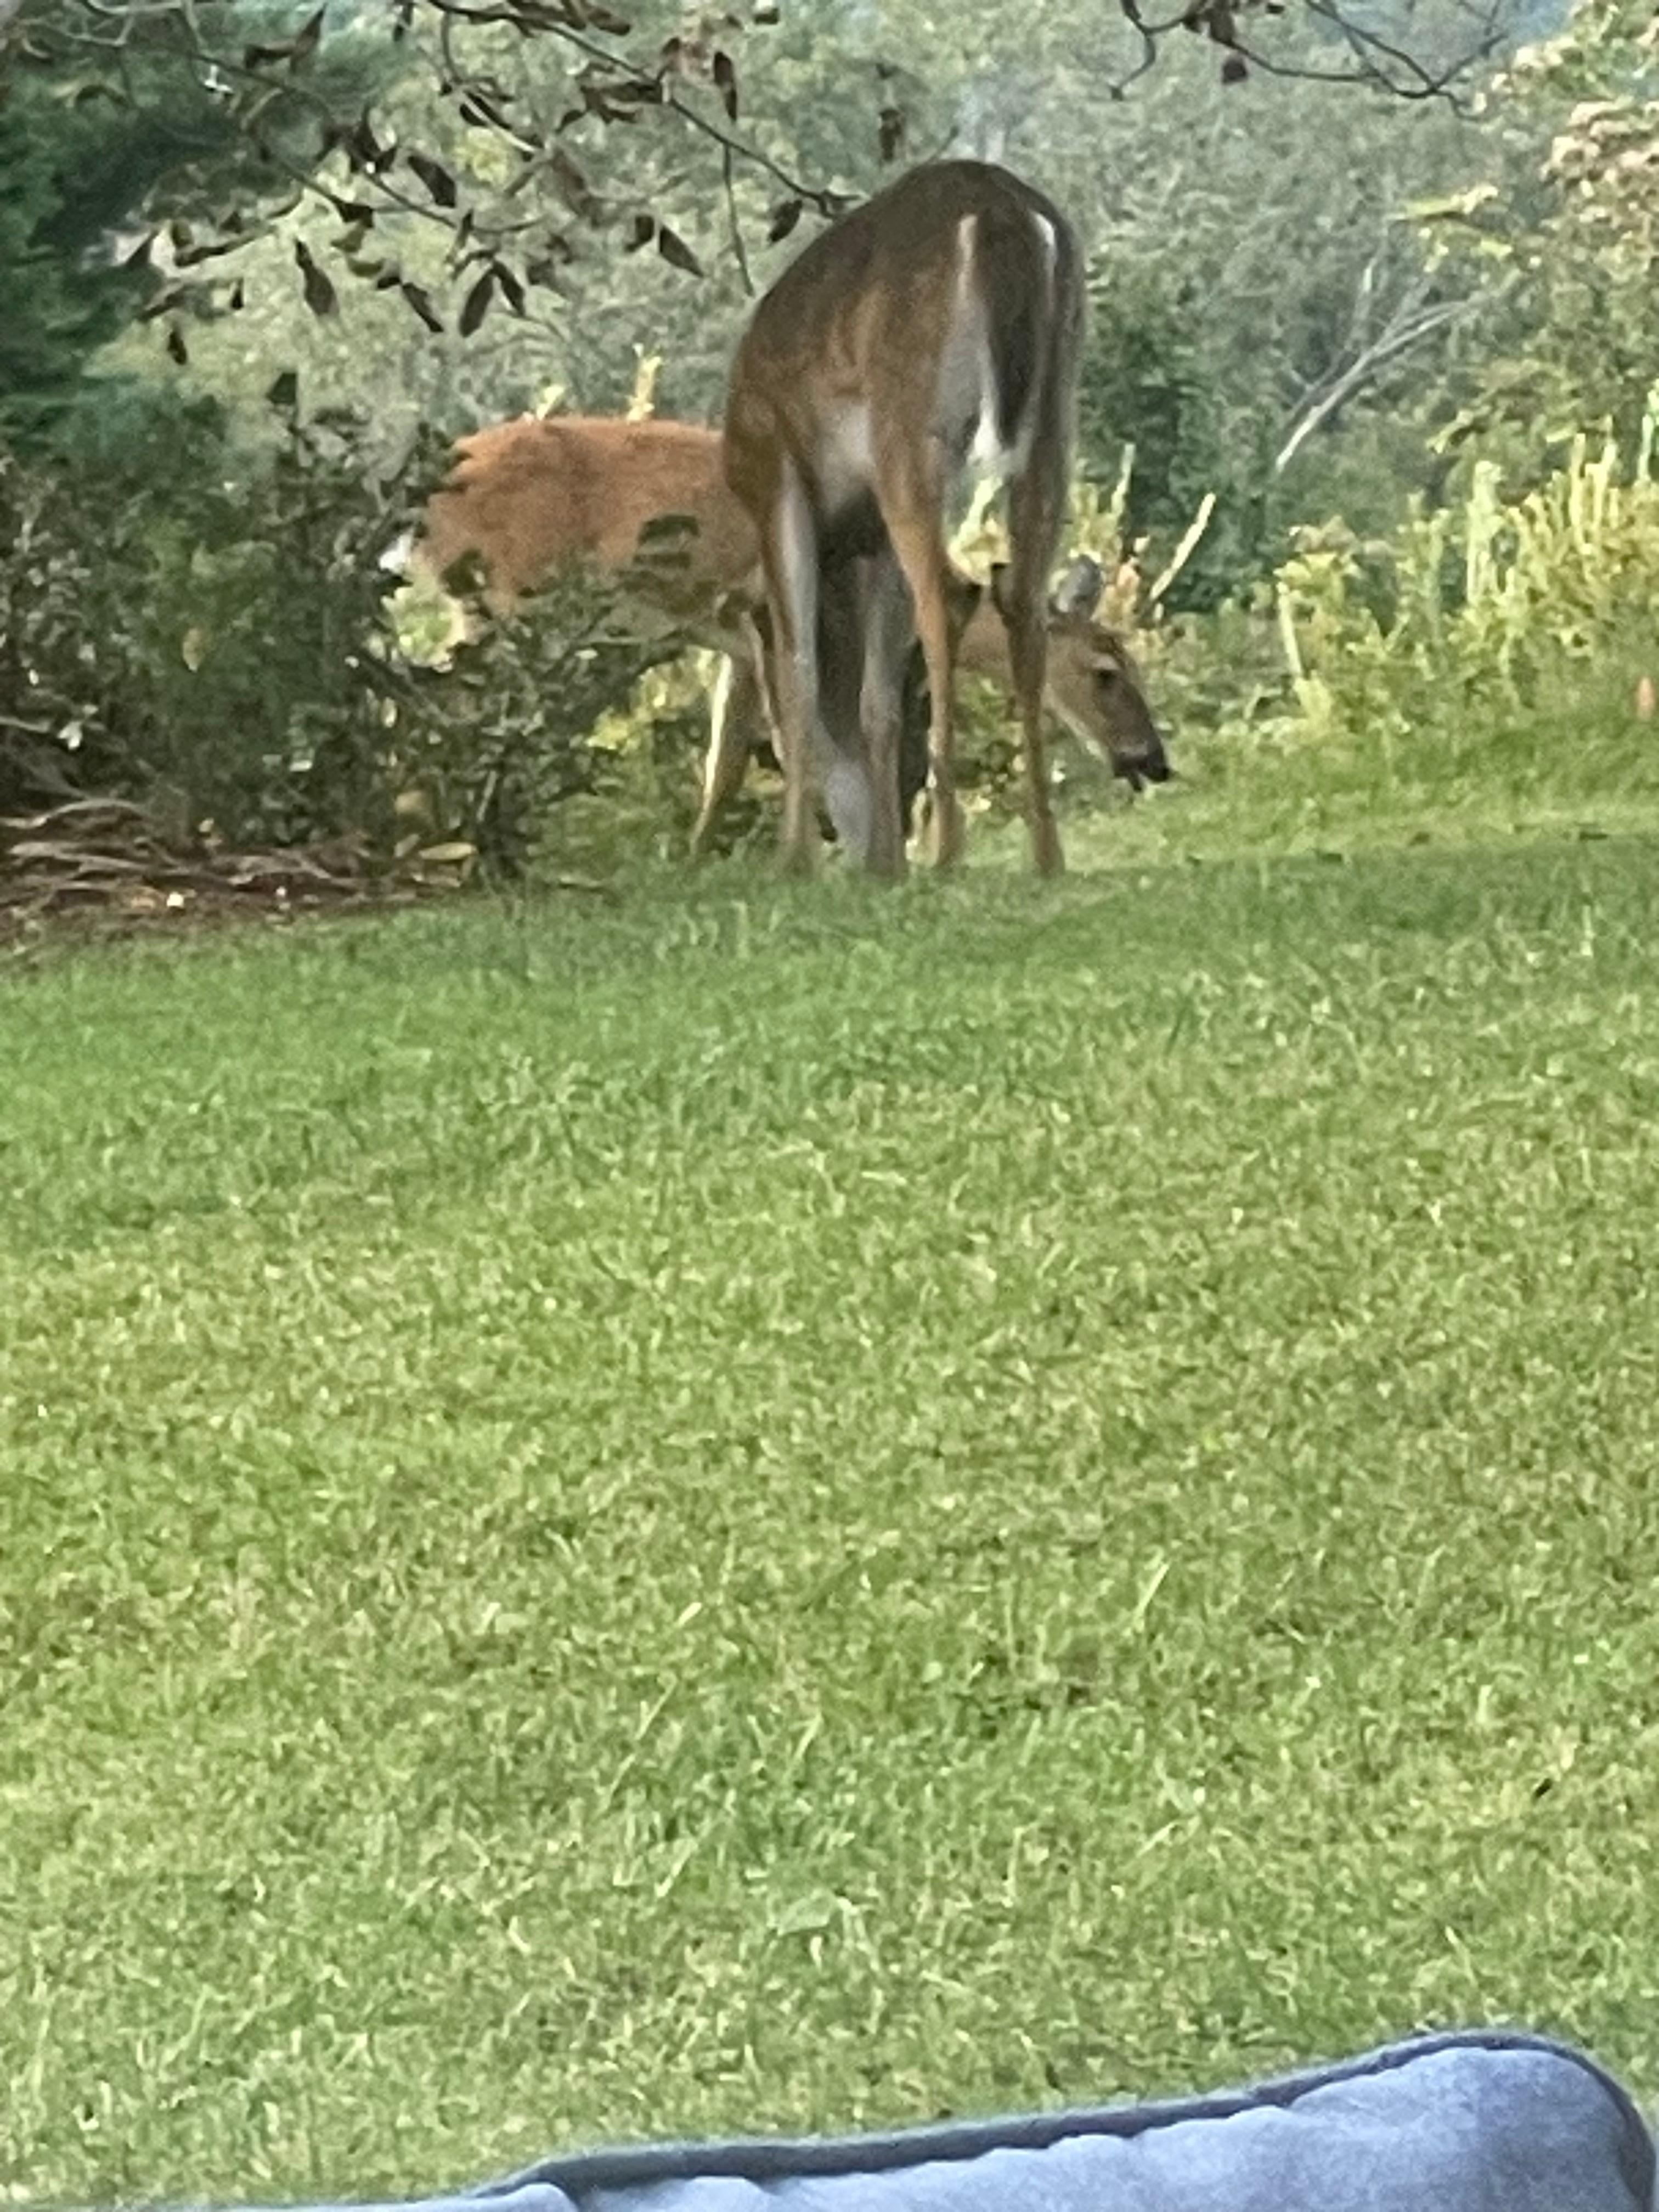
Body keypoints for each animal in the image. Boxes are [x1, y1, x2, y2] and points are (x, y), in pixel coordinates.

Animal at [407, 410, 1166, 858]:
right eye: (1106, 672)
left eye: (1132, 663)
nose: (1155, 760)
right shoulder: (777, 618)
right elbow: (802, 739)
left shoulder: (733, 640)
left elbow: (727, 758)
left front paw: (696, 857)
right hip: (508, 597)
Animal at [724, 159, 1143, 880]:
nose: (843, 839)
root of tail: (1000, 207)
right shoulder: (870, 537)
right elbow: (878, 697)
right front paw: (885, 865)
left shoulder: (777, 480)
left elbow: (803, 672)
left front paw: (799, 860)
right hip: (1055, 409)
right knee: (1020, 599)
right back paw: (1044, 854)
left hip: (913, 420)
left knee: (950, 595)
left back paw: (948, 848)